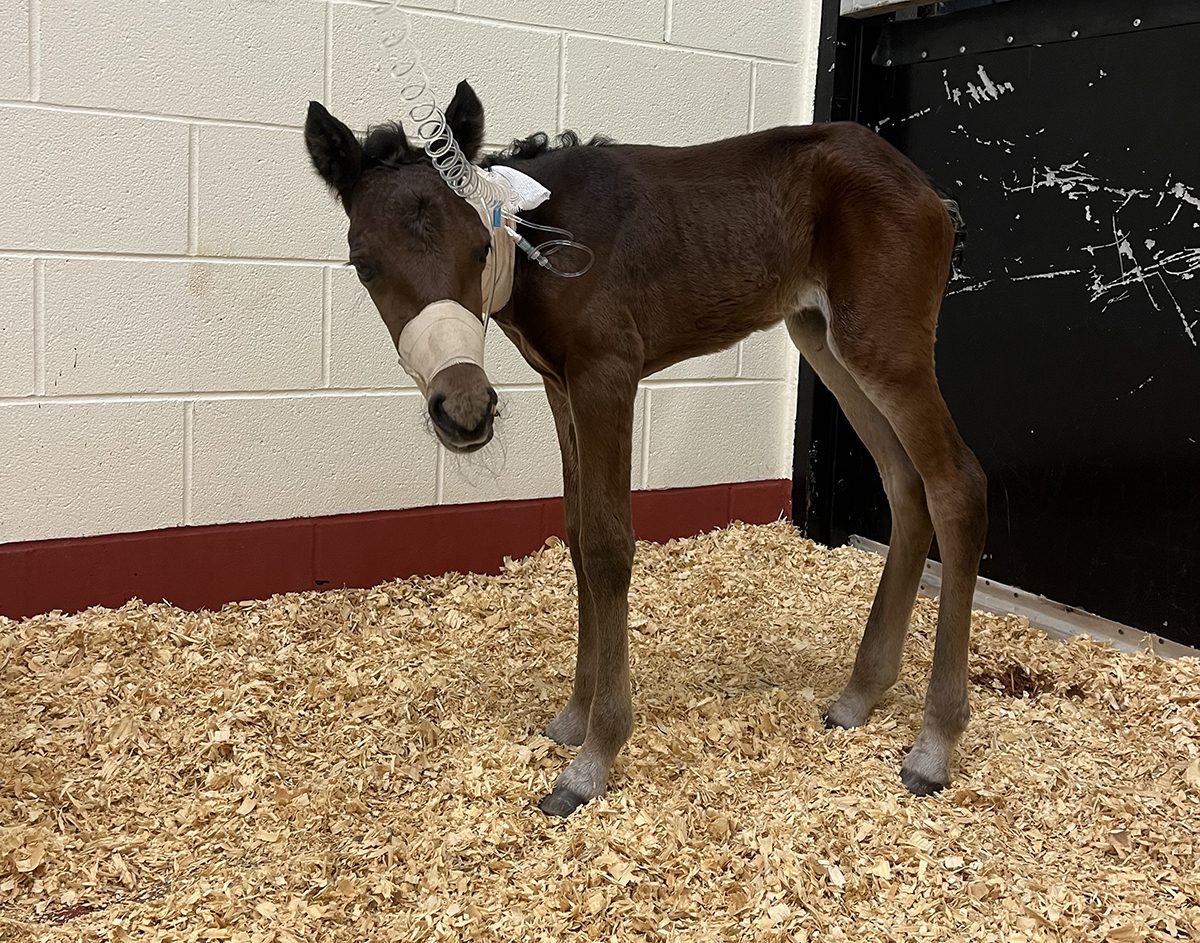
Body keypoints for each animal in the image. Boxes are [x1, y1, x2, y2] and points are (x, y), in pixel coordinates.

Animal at [304, 82, 988, 815]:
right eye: (364, 263)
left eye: (478, 248)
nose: (464, 410)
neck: (546, 240)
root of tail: (929, 192)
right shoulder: (560, 383)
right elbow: (577, 534)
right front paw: (571, 719)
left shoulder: (607, 372)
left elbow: (609, 544)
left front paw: (593, 758)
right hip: (823, 336)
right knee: (904, 483)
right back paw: (859, 696)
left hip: (883, 342)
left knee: (957, 483)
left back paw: (934, 746)